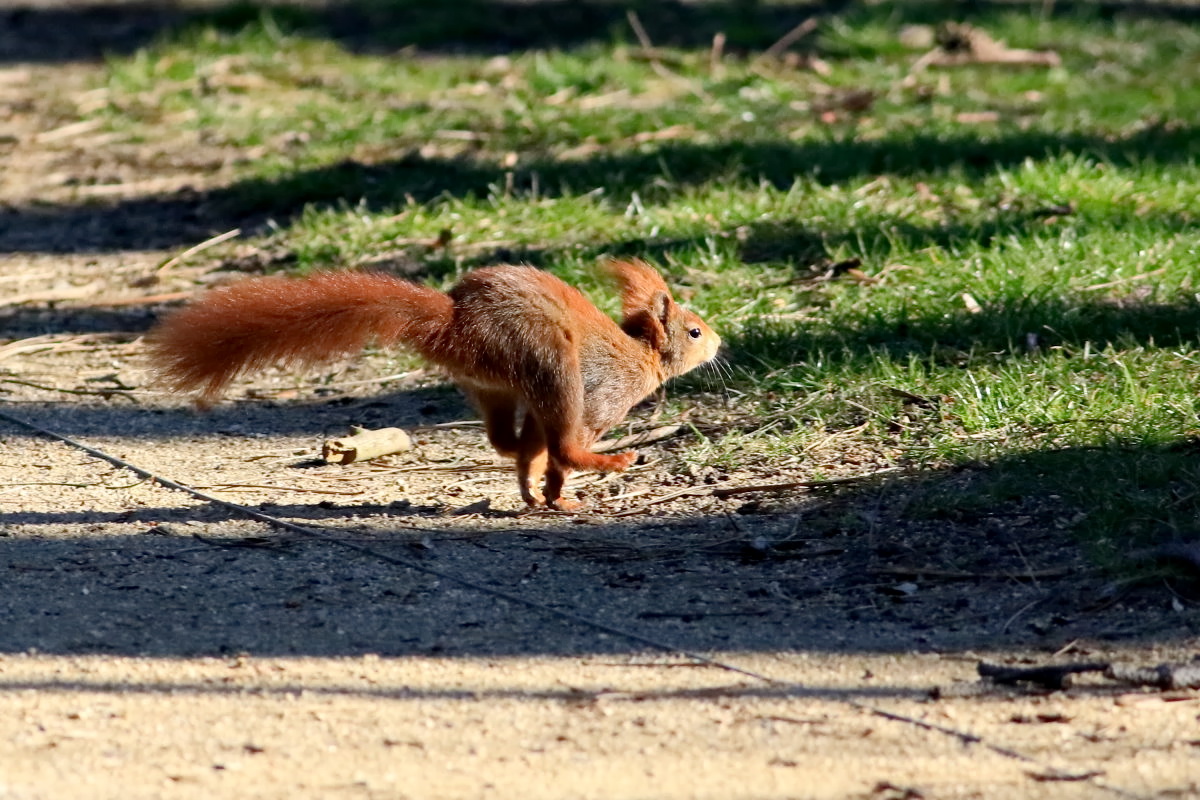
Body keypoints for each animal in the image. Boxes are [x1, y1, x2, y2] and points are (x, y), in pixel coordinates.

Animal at [145, 260, 715, 510]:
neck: (640, 354)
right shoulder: (600, 399)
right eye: (694, 331)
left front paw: (544, 496)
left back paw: (529, 483)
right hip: (550, 361)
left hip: (497, 386)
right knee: (555, 444)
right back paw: (612, 461)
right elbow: (562, 452)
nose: (720, 342)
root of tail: (457, 322)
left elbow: (539, 452)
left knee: (511, 443)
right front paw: (560, 493)